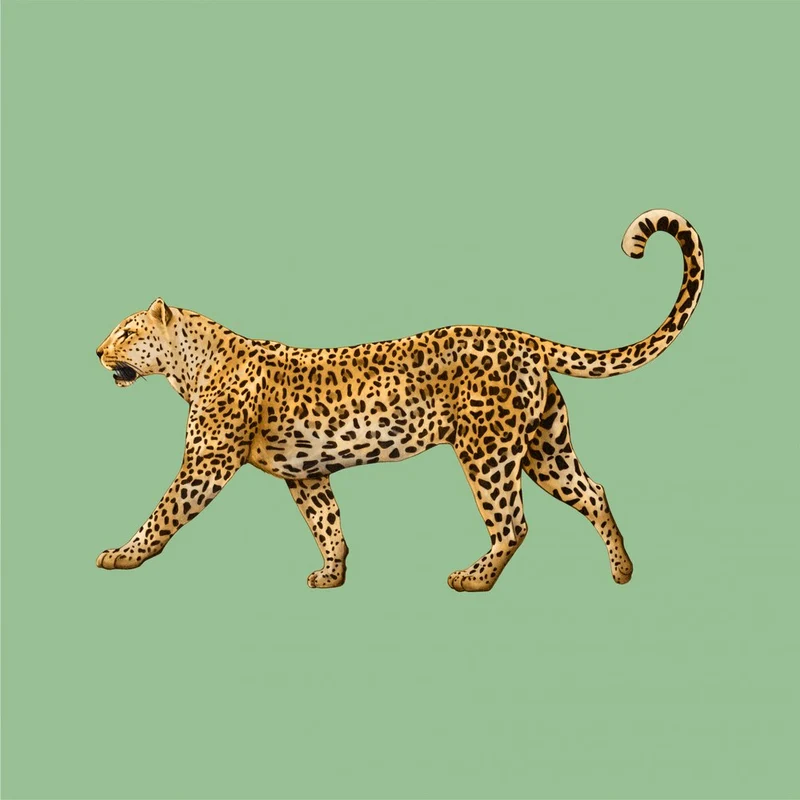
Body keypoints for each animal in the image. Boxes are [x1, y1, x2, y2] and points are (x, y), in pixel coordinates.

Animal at [95, 209, 704, 591]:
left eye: (126, 332)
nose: (97, 351)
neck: (191, 367)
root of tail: (525, 339)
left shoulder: (207, 462)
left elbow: (164, 511)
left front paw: (122, 555)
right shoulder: (306, 473)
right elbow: (328, 524)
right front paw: (332, 576)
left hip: (488, 450)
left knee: (512, 522)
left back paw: (473, 579)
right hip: (545, 447)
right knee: (593, 491)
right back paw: (622, 572)